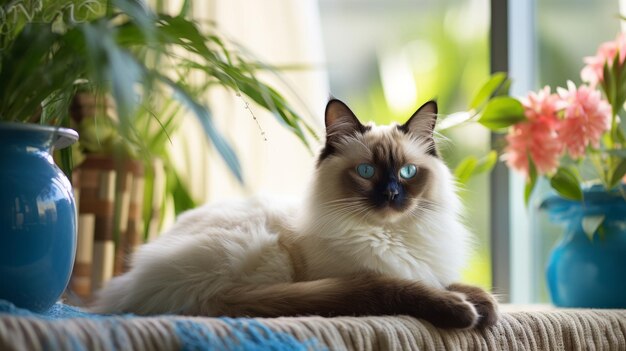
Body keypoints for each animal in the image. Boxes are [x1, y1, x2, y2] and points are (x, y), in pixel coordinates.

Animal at [91, 99, 498, 330]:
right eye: (366, 172)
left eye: (408, 172)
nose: (391, 195)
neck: (392, 237)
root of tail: (127, 282)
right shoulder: (369, 275)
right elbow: (410, 288)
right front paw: (468, 312)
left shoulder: (426, 267)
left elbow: (449, 282)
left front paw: (487, 308)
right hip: (262, 253)